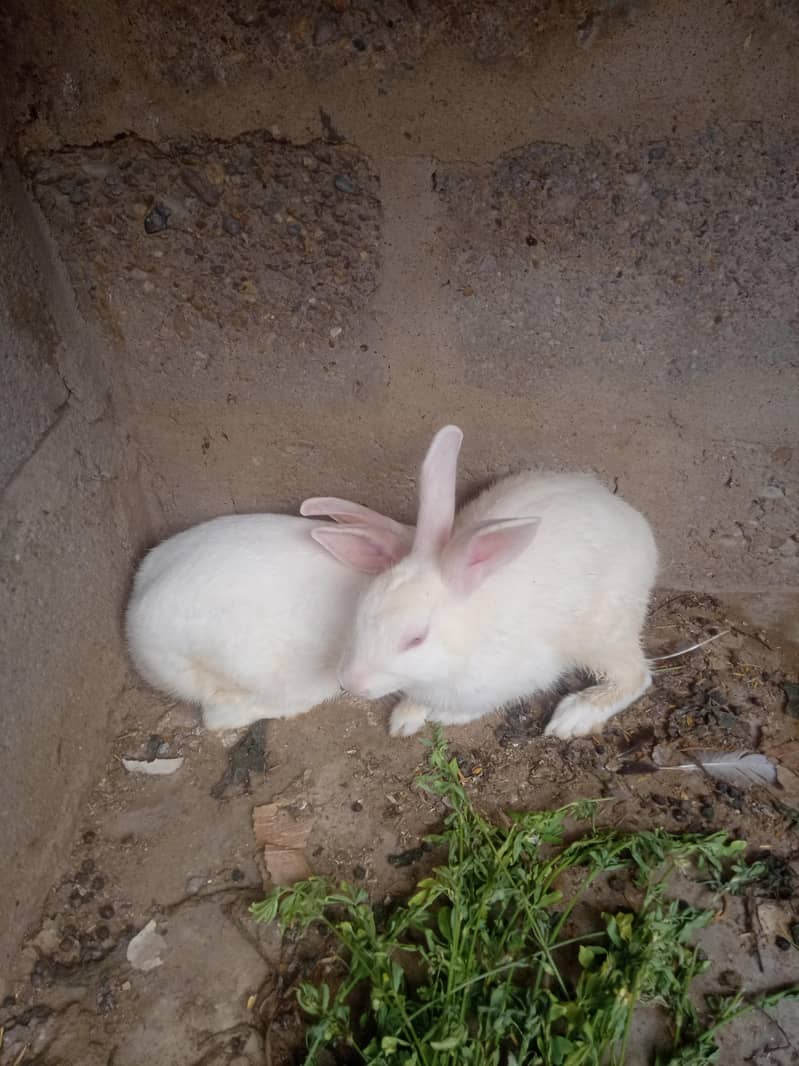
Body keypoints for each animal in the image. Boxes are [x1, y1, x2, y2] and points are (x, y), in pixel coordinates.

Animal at [310, 425, 658, 740]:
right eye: (359, 613)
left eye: (416, 639)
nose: (351, 683)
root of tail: (635, 522)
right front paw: (406, 717)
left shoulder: (521, 676)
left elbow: (477, 706)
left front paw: (444, 717)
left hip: (604, 631)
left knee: (637, 675)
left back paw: (574, 717)